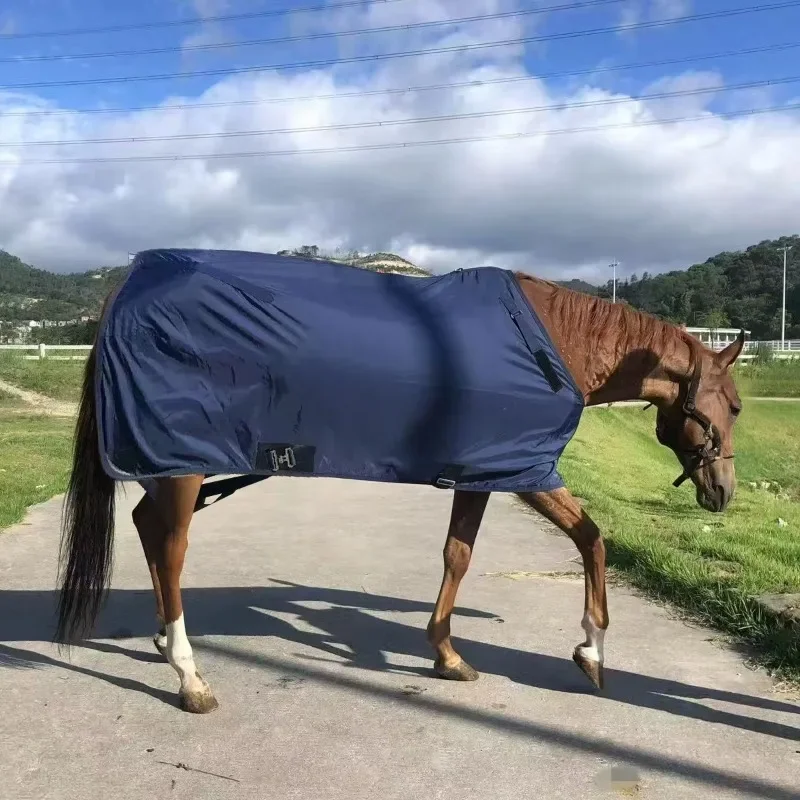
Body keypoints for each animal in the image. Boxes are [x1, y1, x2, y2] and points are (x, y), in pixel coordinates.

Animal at [54, 254, 744, 714]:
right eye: (735, 406)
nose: (724, 493)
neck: (551, 345)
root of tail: (127, 289)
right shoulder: (526, 471)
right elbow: (592, 540)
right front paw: (592, 651)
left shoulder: (480, 473)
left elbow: (457, 555)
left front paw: (447, 655)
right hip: (184, 462)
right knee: (171, 547)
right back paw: (189, 676)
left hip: (170, 465)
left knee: (149, 530)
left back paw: (163, 641)